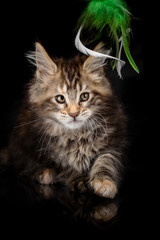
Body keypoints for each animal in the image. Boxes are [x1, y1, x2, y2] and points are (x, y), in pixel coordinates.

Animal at [6, 41, 127, 199]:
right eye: (60, 99)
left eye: (84, 96)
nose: (74, 114)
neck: (77, 135)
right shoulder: (52, 153)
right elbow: (67, 166)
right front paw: (80, 180)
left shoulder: (112, 142)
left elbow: (106, 161)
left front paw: (104, 183)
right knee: (24, 168)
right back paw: (45, 174)